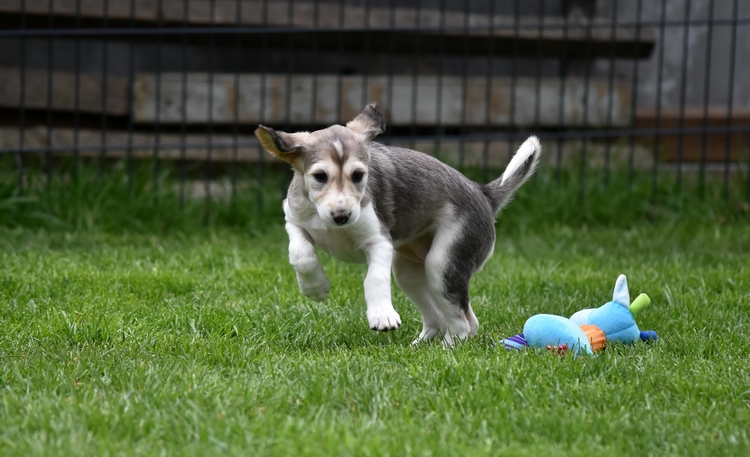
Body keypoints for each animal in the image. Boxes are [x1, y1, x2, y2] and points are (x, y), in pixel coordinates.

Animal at [258, 102, 540, 346]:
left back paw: (447, 350)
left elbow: (374, 278)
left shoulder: (379, 241)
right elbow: (300, 253)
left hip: (442, 265)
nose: (342, 216)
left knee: (465, 322)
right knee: (440, 318)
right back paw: (420, 346)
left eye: (358, 175)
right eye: (320, 176)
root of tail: (483, 194)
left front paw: (382, 316)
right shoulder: (294, 219)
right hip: (408, 272)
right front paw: (315, 288)